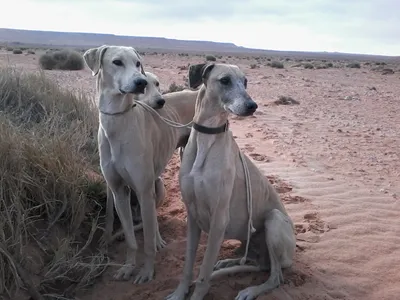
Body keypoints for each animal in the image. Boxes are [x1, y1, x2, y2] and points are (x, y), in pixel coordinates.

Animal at [83, 45, 196, 284]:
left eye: (137, 63)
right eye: (117, 62)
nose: (140, 82)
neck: (118, 122)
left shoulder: (144, 191)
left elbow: (148, 244)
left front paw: (147, 271)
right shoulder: (118, 191)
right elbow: (130, 238)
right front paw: (128, 267)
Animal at [164, 63, 296, 300]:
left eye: (245, 82)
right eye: (225, 80)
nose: (252, 106)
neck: (207, 138)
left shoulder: (218, 220)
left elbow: (204, 272)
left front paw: (197, 292)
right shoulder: (192, 216)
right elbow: (188, 266)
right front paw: (180, 293)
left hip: (273, 221)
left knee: (275, 277)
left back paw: (250, 290)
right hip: (250, 239)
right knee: (258, 264)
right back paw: (228, 263)